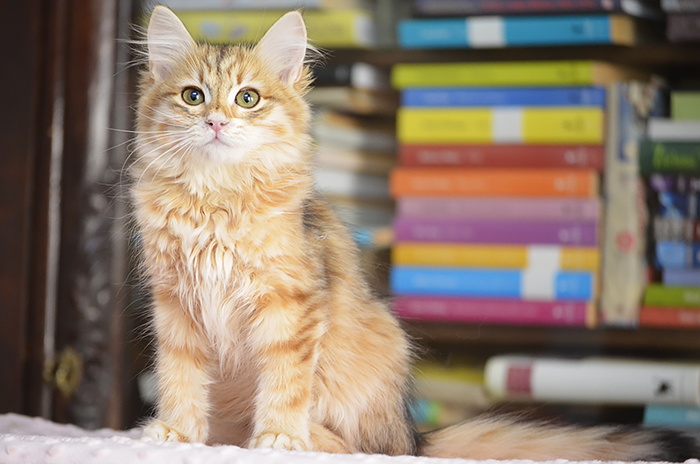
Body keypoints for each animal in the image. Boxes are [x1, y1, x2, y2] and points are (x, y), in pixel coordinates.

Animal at [131, 5, 698, 461]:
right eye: (193, 96)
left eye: (247, 98)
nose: (216, 122)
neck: (215, 201)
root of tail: (417, 438)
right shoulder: (175, 305)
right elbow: (180, 378)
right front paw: (176, 432)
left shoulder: (290, 305)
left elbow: (285, 383)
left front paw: (278, 438)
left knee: (369, 447)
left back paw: (304, 438)